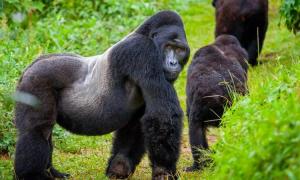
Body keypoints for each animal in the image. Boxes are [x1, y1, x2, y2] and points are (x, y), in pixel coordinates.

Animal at [14, 11, 190, 180]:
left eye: (180, 50)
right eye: (169, 47)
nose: (173, 63)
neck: (145, 34)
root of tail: (30, 66)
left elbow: (137, 124)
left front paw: (119, 167)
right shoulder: (142, 50)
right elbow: (162, 115)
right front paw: (164, 171)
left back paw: (52, 172)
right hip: (36, 80)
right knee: (38, 130)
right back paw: (33, 175)